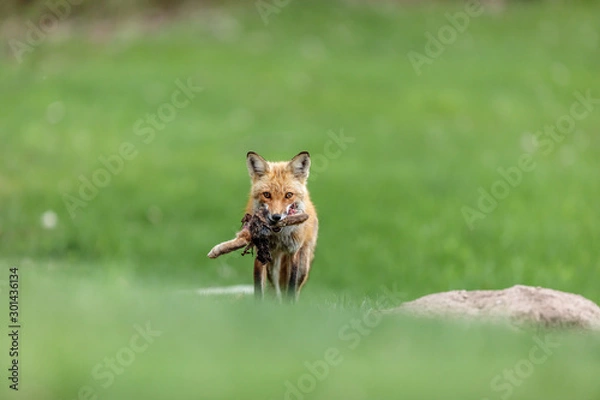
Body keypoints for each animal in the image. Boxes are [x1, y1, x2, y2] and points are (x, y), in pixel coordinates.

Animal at [245, 152, 318, 302]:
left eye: (288, 195)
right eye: (267, 194)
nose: (276, 217)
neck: (279, 237)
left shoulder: (293, 252)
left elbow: (291, 287)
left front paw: (289, 307)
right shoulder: (260, 253)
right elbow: (258, 287)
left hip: (303, 265)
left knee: (295, 288)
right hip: (272, 263)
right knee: (275, 287)